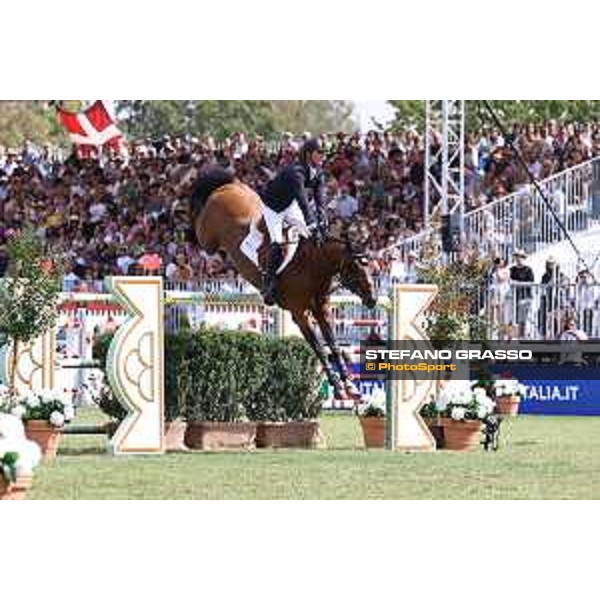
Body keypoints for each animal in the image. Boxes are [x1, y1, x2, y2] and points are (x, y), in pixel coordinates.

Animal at [190, 166, 378, 398]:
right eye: (355, 266)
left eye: (371, 266)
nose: (372, 299)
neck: (313, 265)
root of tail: (228, 186)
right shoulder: (300, 313)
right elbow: (319, 348)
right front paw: (337, 386)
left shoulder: (322, 309)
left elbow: (333, 344)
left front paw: (349, 384)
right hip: (208, 237)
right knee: (200, 230)